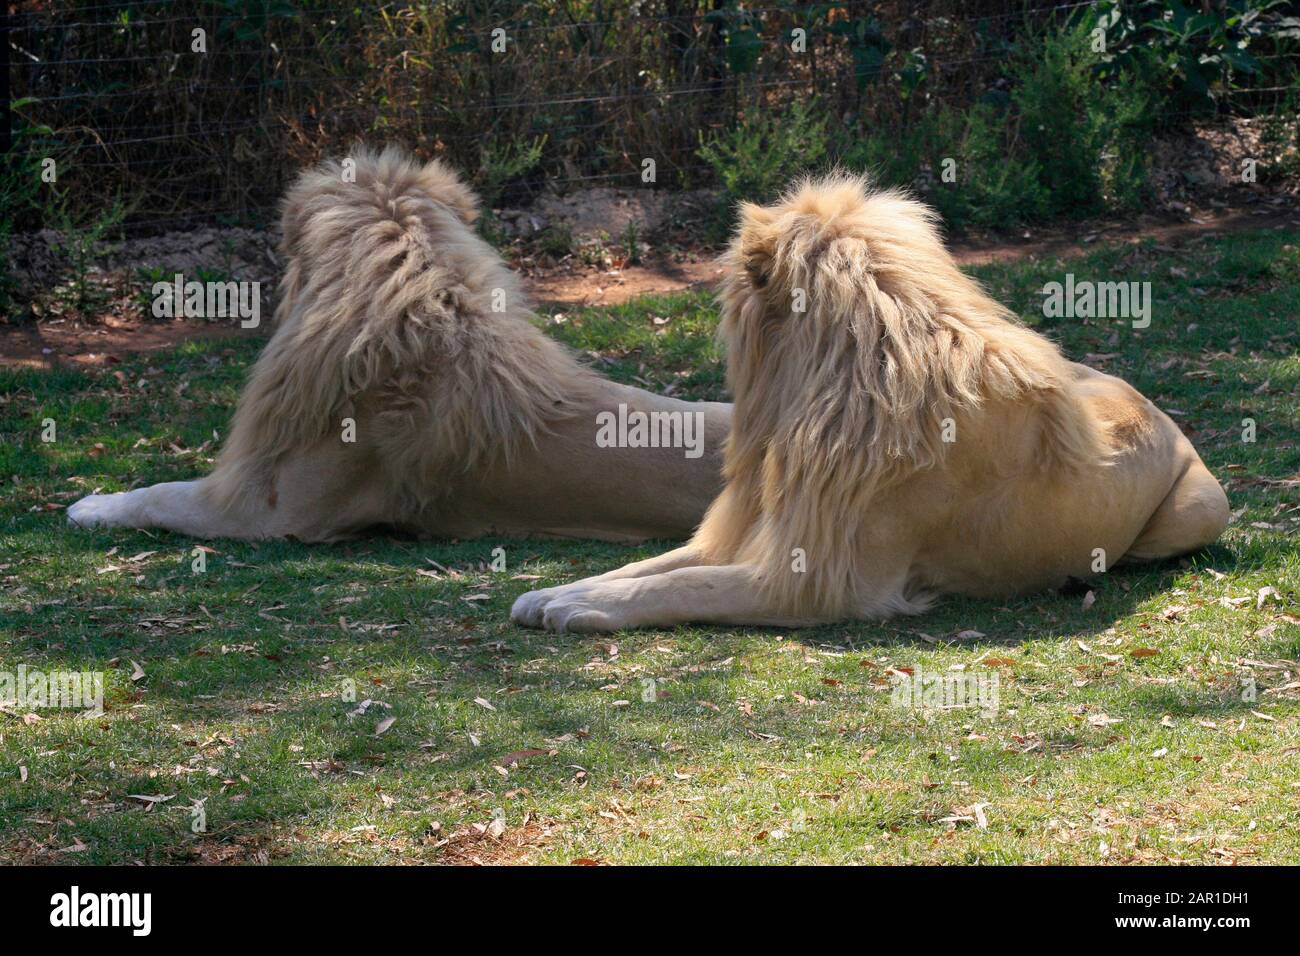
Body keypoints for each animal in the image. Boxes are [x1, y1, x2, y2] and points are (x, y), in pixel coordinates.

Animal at [512, 174, 1230, 633]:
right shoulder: (767, 529)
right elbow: (653, 563)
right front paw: (554, 593)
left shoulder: (824, 581)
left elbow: (685, 583)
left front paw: (579, 610)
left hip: (1202, 508)